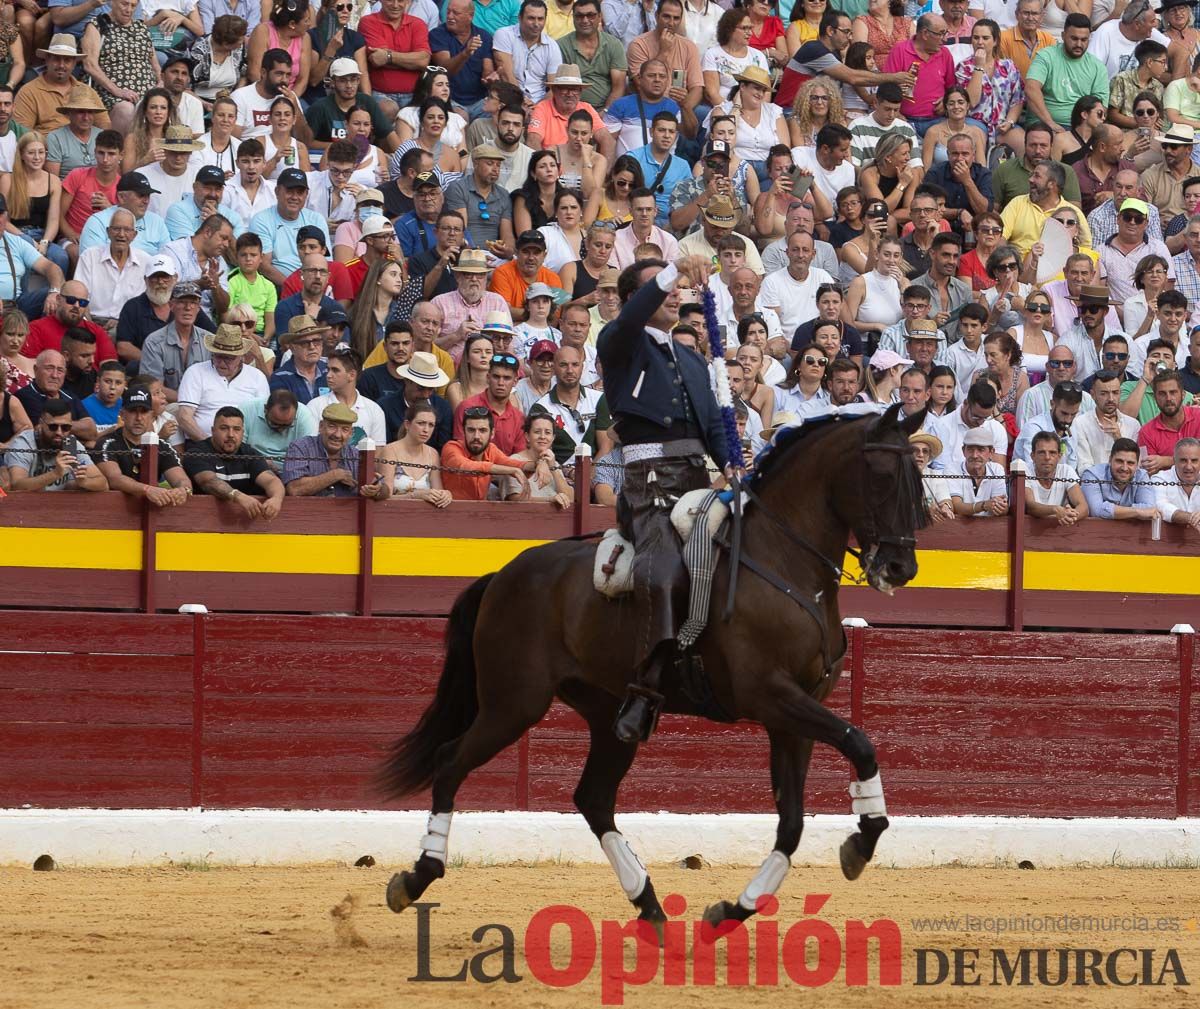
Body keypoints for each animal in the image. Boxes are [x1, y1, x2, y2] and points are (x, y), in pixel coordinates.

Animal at [379, 400, 921, 931]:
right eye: (881, 474)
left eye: (917, 477)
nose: (901, 568)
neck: (784, 561)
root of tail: (503, 574)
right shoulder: (768, 695)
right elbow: (860, 742)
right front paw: (861, 842)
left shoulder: (796, 714)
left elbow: (792, 820)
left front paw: (732, 910)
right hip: (512, 704)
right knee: (450, 761)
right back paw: (416, 878)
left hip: (605, 713)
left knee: (594, 797)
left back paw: (651, 905)